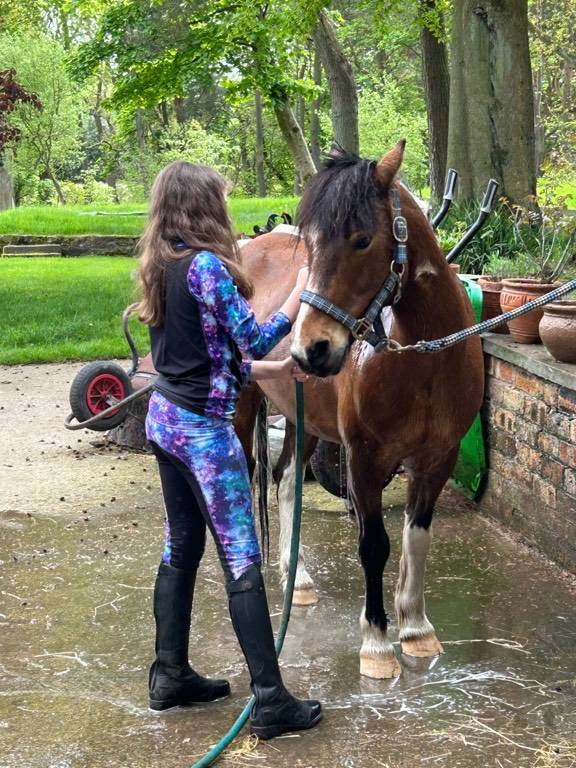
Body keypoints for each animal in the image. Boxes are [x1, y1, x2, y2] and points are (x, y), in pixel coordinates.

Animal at [234, 141, 484, 679]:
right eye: (309, 246)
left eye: (362, 240)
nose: (311, 349)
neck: (424, 357)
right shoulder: (364, 460)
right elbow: (375, 545)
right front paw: (376, 644)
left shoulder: (438, 458)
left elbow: (416, 538)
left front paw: (416, 630)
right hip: (243, 409)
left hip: (303, 420)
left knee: (285, 481)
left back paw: (297, 578)